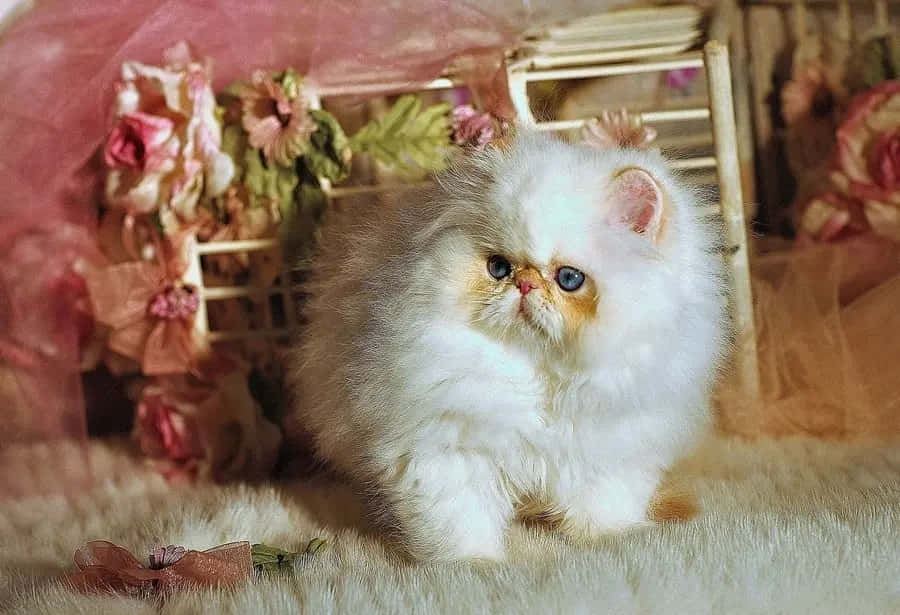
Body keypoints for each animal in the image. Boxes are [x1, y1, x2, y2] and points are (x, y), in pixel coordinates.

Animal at [288, 131, 732, 564]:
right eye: (498, 268)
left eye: (569, 278)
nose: (524, 284)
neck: (539, 371)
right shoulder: (445, 455)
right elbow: (460, 523)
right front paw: (474, 567)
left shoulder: (610, 449)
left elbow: (601, 507)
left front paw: (611, 540)